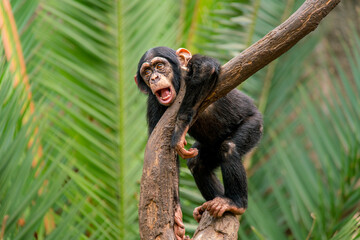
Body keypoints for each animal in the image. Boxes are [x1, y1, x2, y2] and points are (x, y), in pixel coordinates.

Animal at [135, 47, 262, 223]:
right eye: (146, 72)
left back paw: (235, 204)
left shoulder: (194, 65)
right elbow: (163, 156)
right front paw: (176, 215)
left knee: (229, 147)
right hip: (210, 147)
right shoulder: (153, 106)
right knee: (197, 163)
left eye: (159, 66)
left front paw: (180, 130)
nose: (154, 77)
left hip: (255, 124)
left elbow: (205, 69)